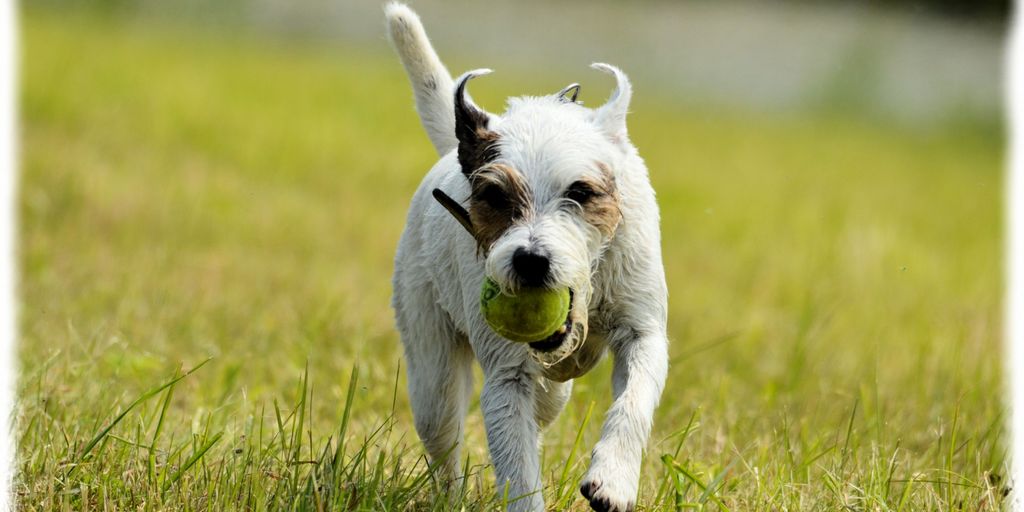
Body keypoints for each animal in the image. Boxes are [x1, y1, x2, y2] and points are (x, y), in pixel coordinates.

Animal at [387, 3, 667, 507]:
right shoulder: (507, 379)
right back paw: (449, 499)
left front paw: (613, 479)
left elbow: (632, 403)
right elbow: (517, 470)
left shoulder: (644, 332)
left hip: (553, 392)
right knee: (444, 441)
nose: (531, 261)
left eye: (581, 192)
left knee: (546, 408)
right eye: (494, 196)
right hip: (433, 378)